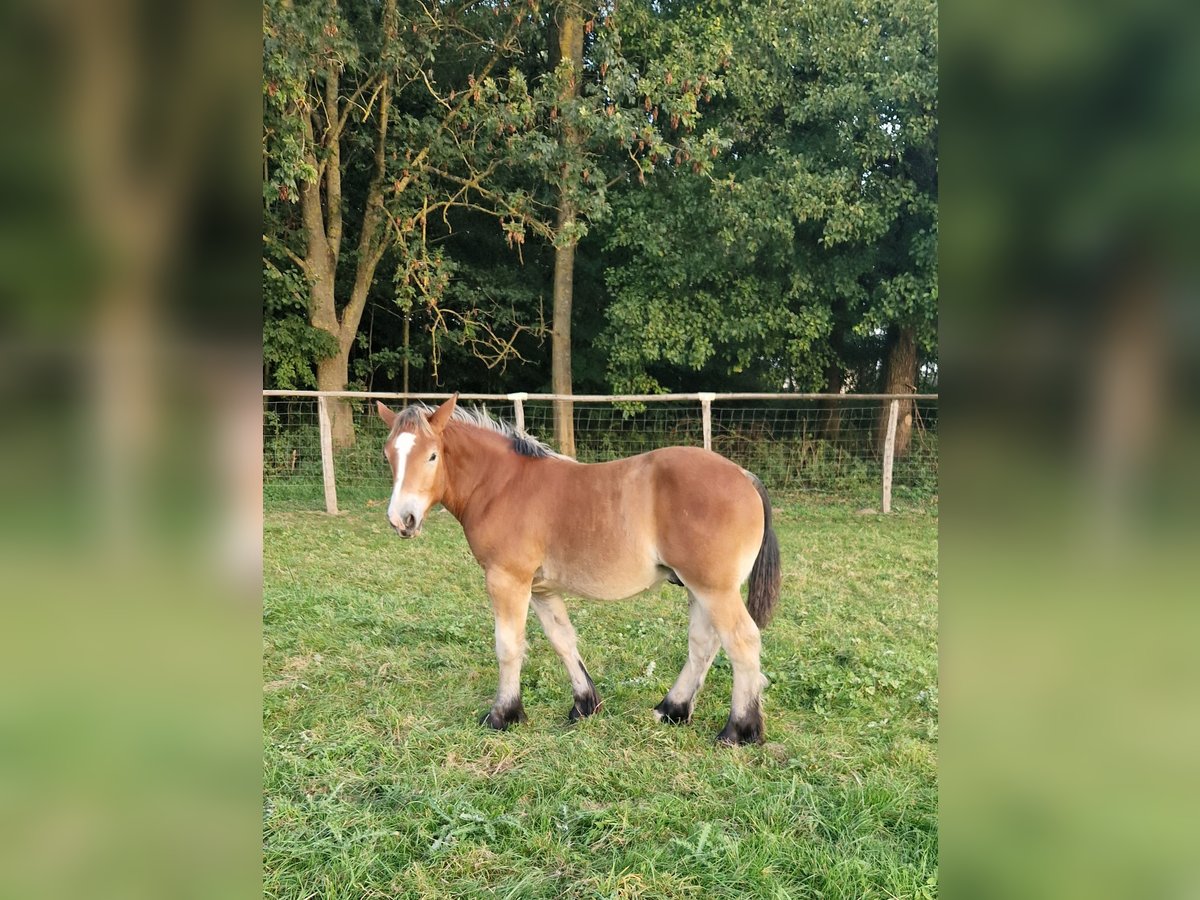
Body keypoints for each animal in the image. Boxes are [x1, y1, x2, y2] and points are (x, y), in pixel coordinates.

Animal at [379, 396, 782, 748]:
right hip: (698, 588)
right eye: (389, 455)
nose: (402, 519)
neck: (501, 484)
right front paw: (585, 705)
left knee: (742, 642)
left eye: (432, 455)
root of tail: (743, 475)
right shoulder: (541, 588)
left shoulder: (507, 580)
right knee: (704, 644)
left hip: (714, 589)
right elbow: (563, 640)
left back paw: (739, 730)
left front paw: (503, 715)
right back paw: (672, 710)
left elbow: (508, 646)